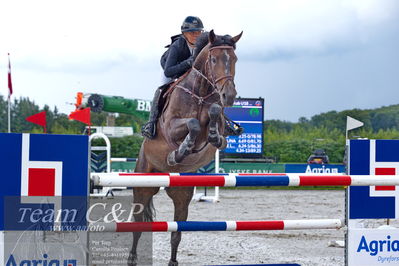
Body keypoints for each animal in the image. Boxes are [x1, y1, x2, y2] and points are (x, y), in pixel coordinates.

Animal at [130, 30, 244, 264]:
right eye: (213, 59)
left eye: (235, 59)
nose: (229, 96)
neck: (200, 92)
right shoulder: (171, 128)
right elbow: (192, 124)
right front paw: (179, 152)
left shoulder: (220, 123)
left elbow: (215, 114)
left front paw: (213, 135)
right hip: (142, 187)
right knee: (137, 225)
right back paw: (132, 258)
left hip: (181, 195)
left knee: (176, 231)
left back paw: (173, 261)